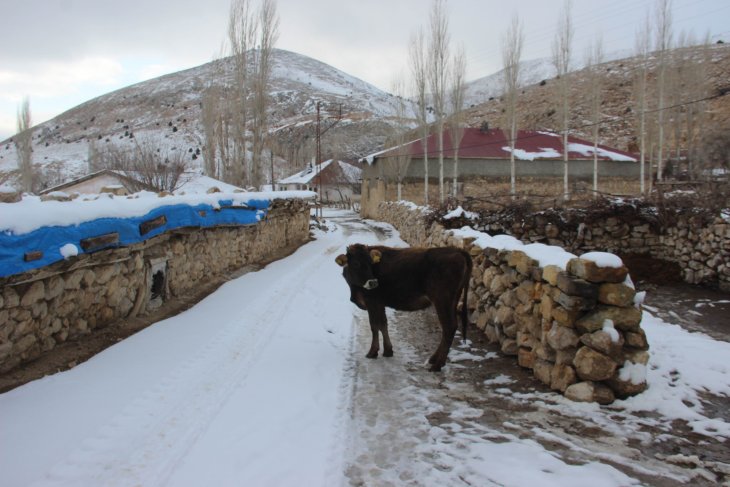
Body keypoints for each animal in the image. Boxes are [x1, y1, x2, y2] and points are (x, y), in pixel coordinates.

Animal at [332, 246, 470, 372]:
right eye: (356, 263)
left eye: (371, 262)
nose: (373, 282)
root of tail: (457, 250)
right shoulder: (380, 304)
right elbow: (383, 324)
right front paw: (388, 351)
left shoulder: (372, 302)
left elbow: (374, 326)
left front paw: (372, 352)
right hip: (453, 300)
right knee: (450, 328)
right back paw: (433, 359)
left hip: (442, 300)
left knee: (448, 328)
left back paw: (437, 365)